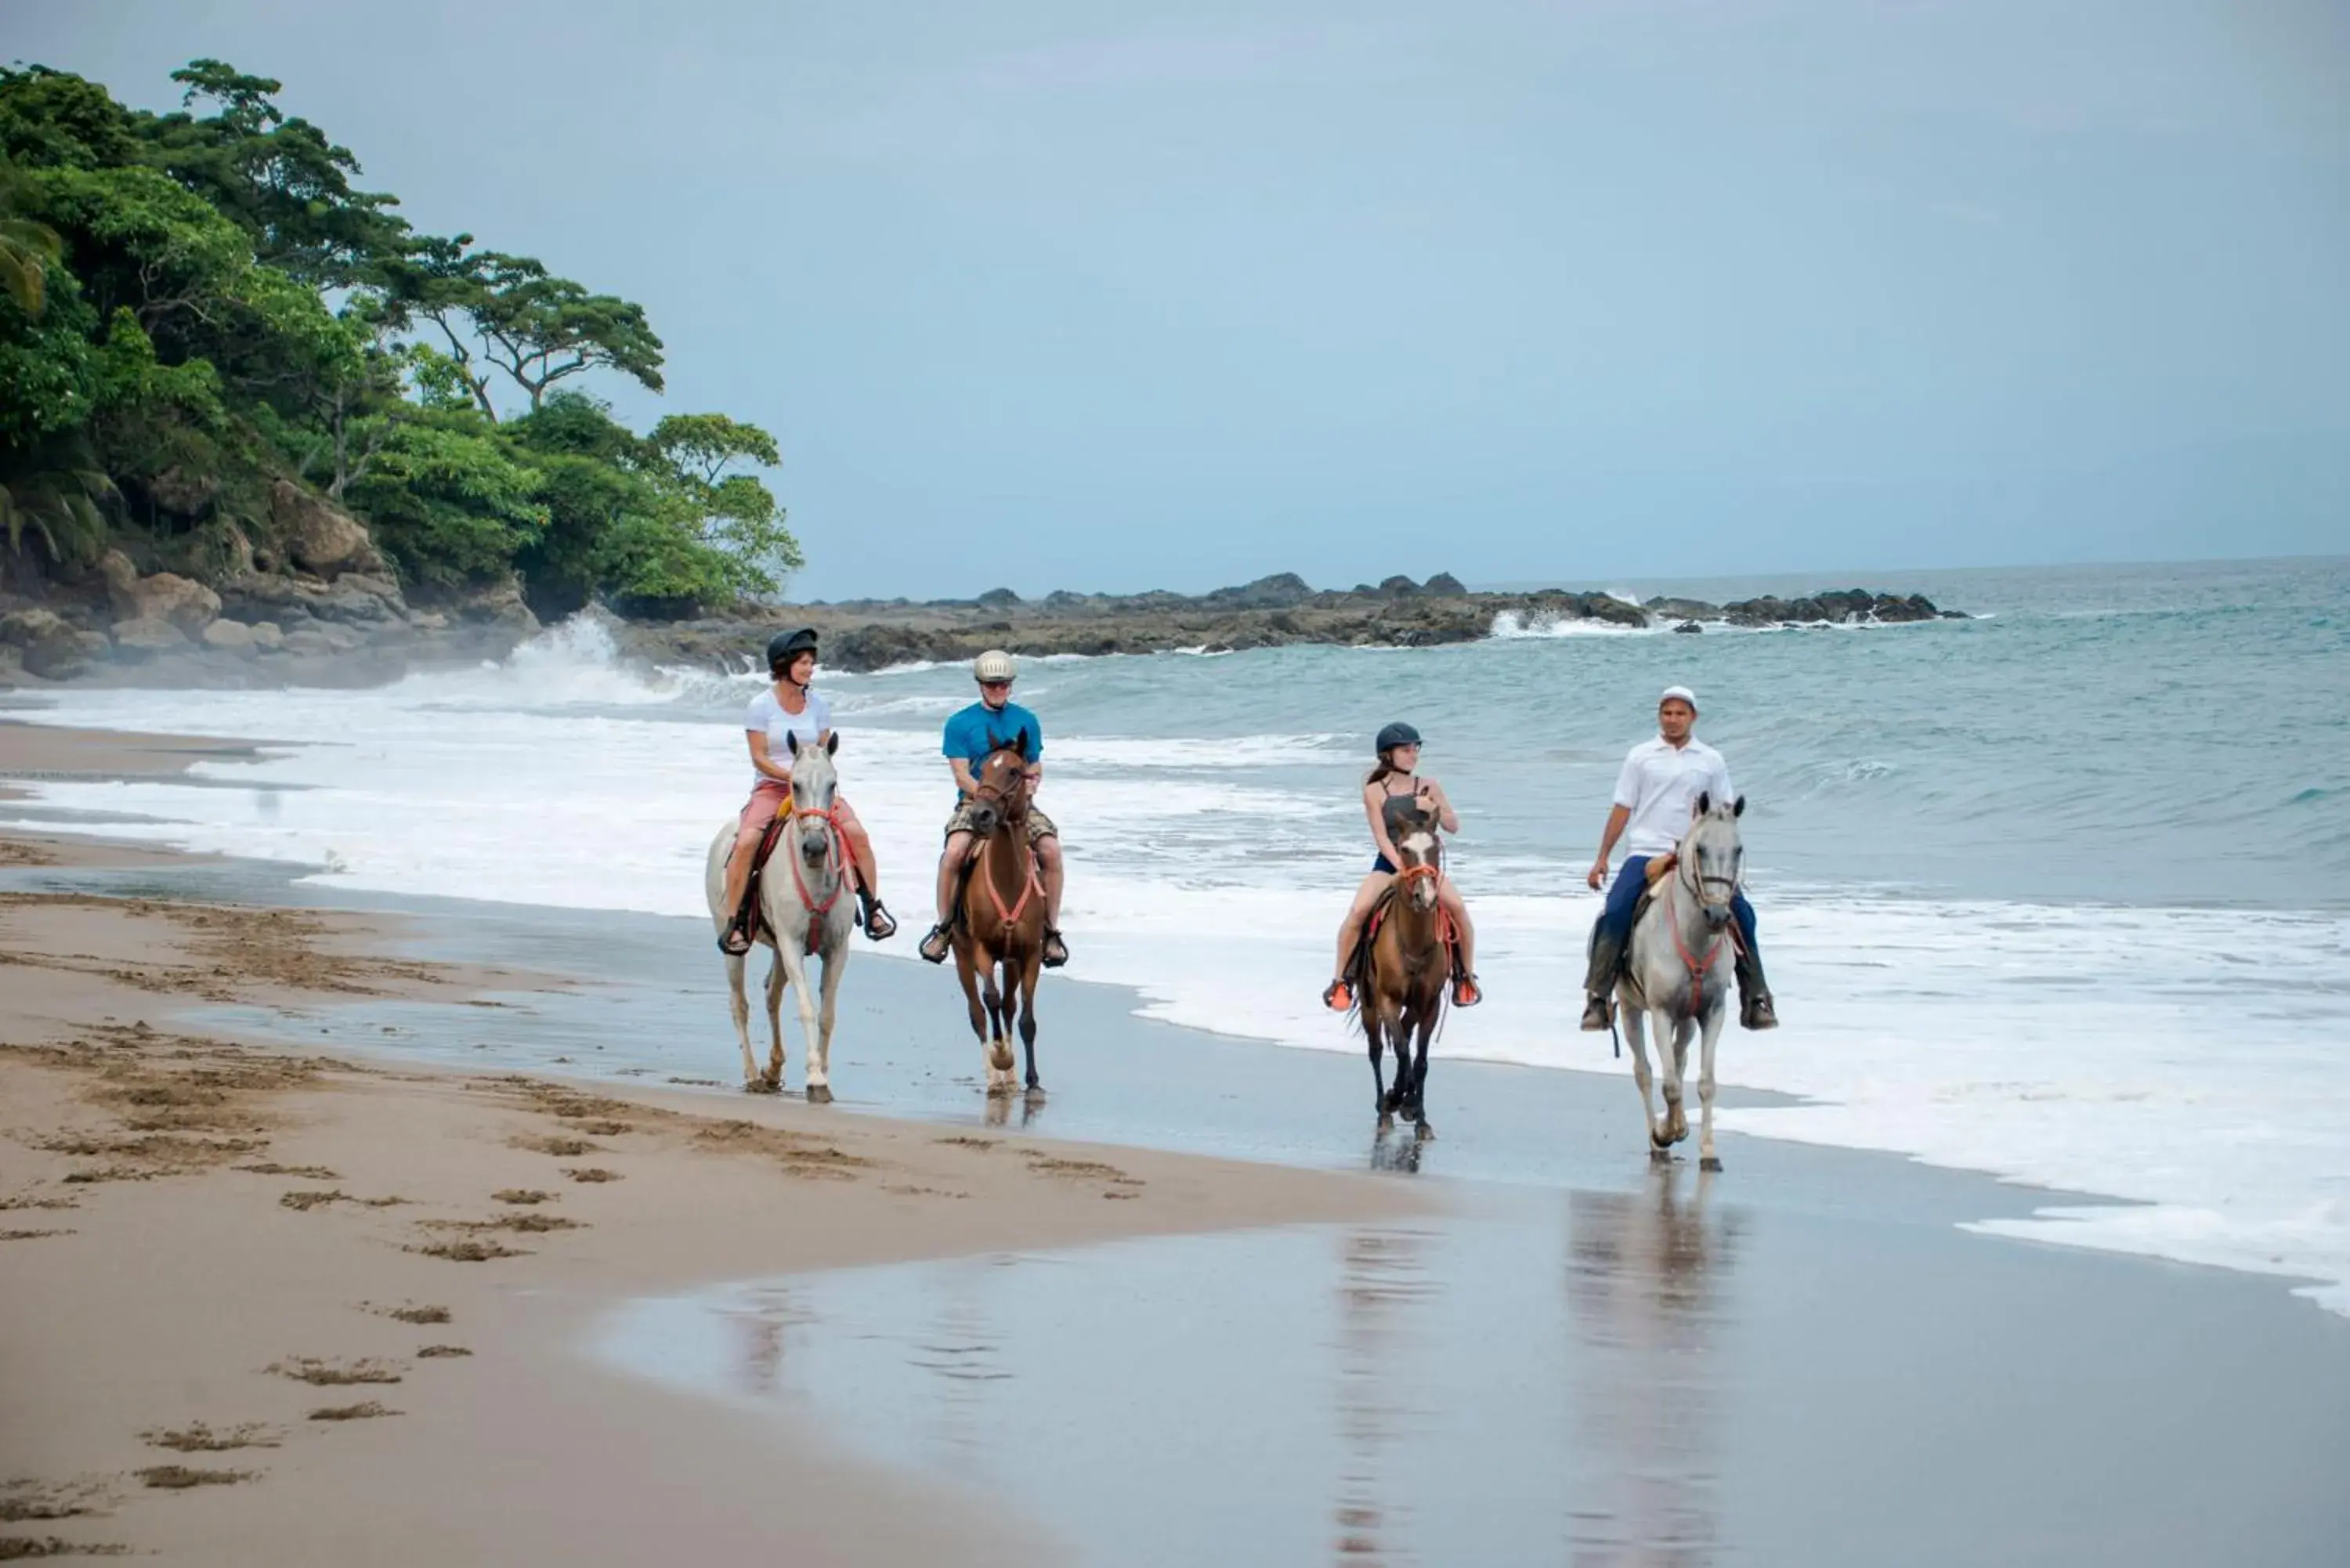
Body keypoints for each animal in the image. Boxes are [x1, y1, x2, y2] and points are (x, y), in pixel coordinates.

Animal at [700, 738, 860, 1104]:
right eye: (795, 785)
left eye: (832, 784)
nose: (814, 847)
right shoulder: (791, 944)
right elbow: (806, 1007)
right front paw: (815, 1078)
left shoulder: (836, 949)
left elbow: (827, 1014)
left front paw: (824, 1075)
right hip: (732, 942)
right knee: (739, 1004)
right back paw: (752, 1074)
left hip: (776, 948)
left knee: (771, 995)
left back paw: (773, 1070)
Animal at [949, 742, 1053, 1100]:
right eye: (981, 770)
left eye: (1015, 771)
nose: (981, 815)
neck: (1008, 879)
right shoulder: (981, 948)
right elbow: (990, 1000)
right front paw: (1001, 1058)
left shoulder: (1029, 955)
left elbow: (1026, 1018)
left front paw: (1033, 1080)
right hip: (962, 956)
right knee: (978, 1013)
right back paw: (995, 1076)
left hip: (1010, 962)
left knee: (1008, 1007)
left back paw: (1010, 1078)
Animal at [1617, 789, 1748, 1170]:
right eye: (1700, 849)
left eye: (1738, 849)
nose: (1718, 915)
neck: (1695, 937)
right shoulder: (1660, 1012)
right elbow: (1671, 1085)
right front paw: (1665, 1134)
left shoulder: (1712, 1012)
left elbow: (1704, 1082)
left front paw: (1707, 1149)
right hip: (1630, 1009)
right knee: (1645, 1072)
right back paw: (1658, 1144)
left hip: (1687, 1018)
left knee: (1678, 1059)